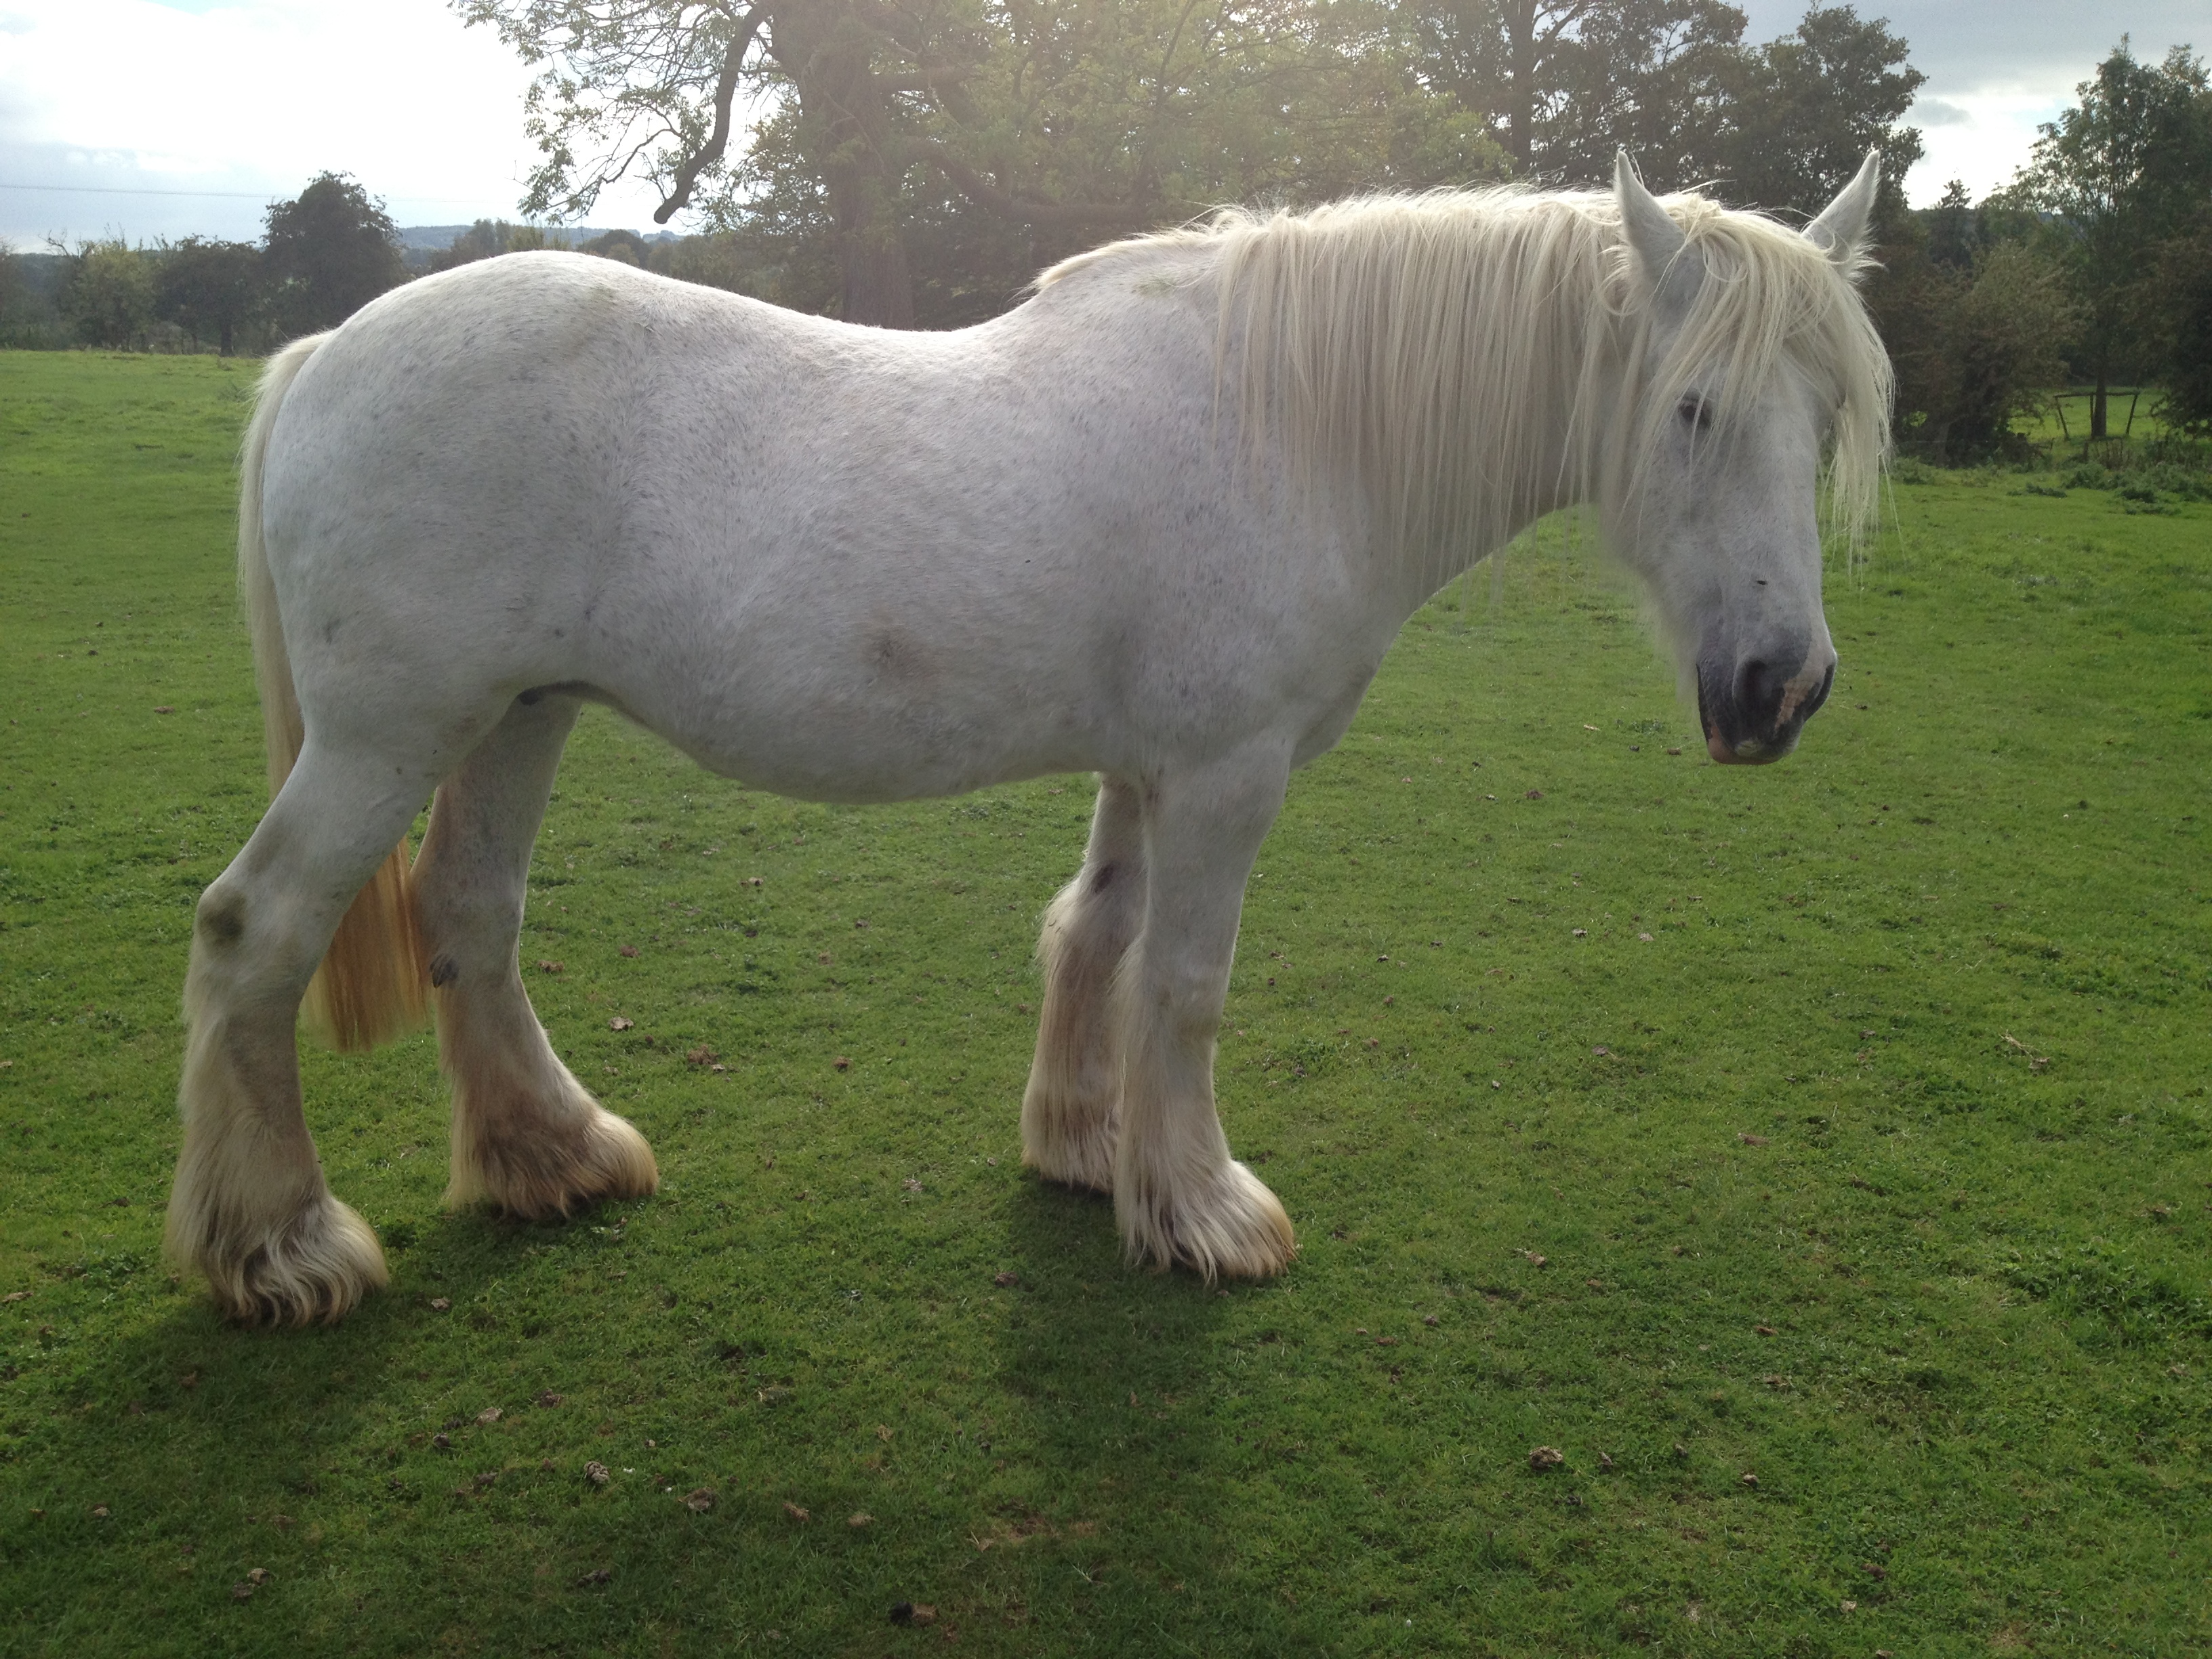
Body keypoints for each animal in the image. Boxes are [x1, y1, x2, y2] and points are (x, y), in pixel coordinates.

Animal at [168, 153, 1891, 1325]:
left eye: (1826, 418)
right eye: (1690, 411)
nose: (1780, 687)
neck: (1292, 424)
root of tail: (327, 353)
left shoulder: (1145, 766)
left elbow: (1094, 936)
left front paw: (1085, 1149)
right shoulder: (1226, 775)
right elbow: (1184, 982)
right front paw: (1203, 1211)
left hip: (514, 719)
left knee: (470, 913)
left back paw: (552, 1153)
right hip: (387, 736)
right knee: (259, 931)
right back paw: (281, 1245)